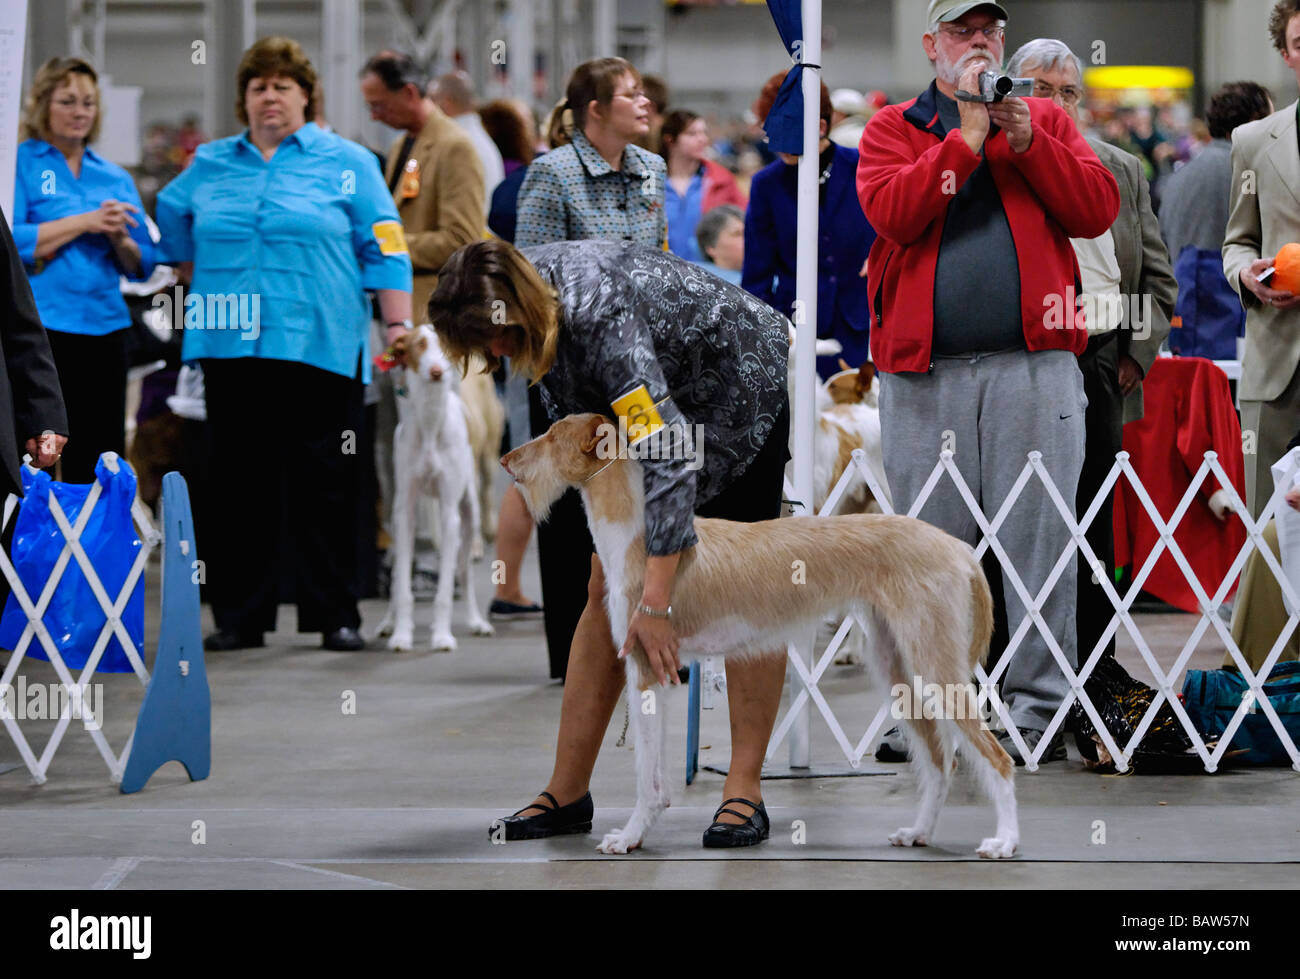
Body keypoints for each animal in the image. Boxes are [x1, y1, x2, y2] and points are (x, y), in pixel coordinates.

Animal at [379, 325, 496, 652]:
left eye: (444, 344)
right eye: (419, 345)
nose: (435, 372)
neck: (431, 423)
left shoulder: (448, 513)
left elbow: (445, 591)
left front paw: (442, 636)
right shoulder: (405, 512)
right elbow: (401, 588)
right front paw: (401, 634)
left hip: (468, 514)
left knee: (465, 573)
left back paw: (476, 621)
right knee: (397, 575)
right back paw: (387, 622)